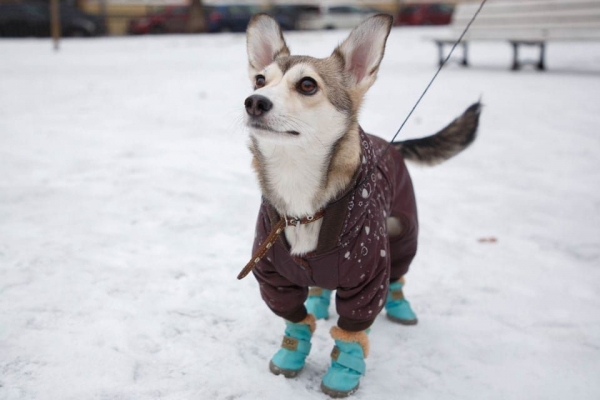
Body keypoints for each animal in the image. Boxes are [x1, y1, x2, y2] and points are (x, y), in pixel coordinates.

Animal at [241, 12, 480, 396]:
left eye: (307, 85)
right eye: (260, 80)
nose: (254, 101)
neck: (302, 202)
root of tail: (392, 145)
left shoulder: (368, 276)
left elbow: (352, 331)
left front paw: (344, 373)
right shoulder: (273, 277)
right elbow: (295, 319)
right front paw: (291, 355)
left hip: (403, 232)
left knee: (398, 275)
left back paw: (400, 308)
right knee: (322, 286)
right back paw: (319, 299)